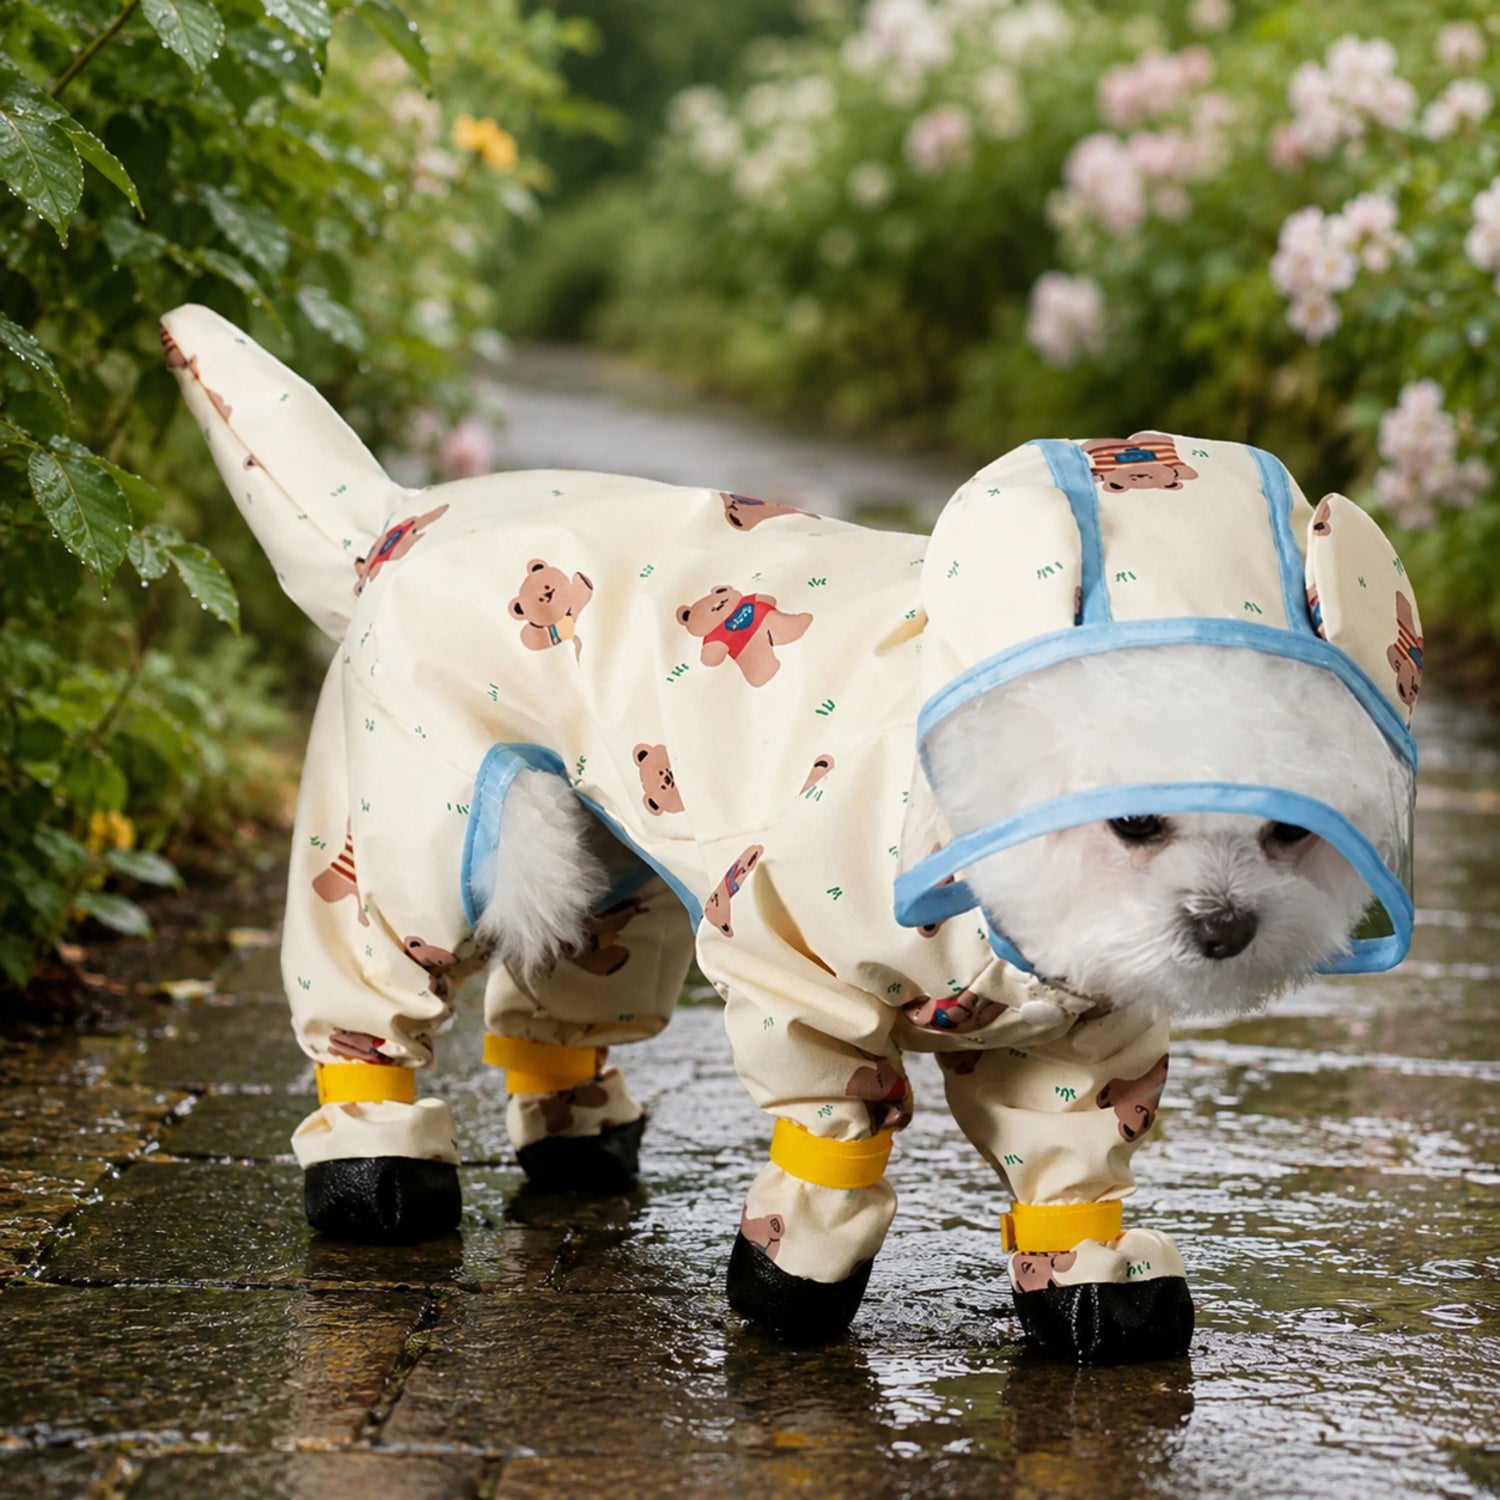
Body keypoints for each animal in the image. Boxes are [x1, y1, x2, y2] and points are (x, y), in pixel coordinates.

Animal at [676, 585, 813, 688]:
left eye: (721, 591)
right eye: (688, 615)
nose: (717, 605)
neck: (728, 615)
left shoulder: (750, 598)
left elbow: (765, 598)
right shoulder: (712, 638)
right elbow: (710, 658)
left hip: (774, 620)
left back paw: (803, 622)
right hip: (753, 653)